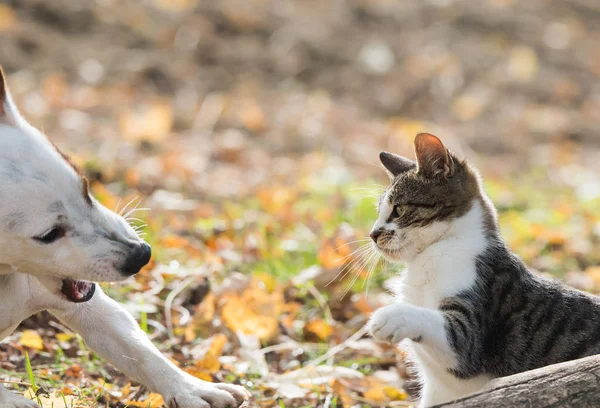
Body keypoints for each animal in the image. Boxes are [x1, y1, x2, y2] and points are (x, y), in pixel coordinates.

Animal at [0, 67, 251, 408]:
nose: (141, 255)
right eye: (49, 234)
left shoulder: (90, 307)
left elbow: (137, 349)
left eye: (86, 188)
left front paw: (192, 388)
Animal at [366, 133, 600, 404]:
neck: (430, 257)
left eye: (399, 209)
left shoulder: (470, 332)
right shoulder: (436, 391)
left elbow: (437, 324)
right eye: (378, 211)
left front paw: (388, 316)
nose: (373, 234)